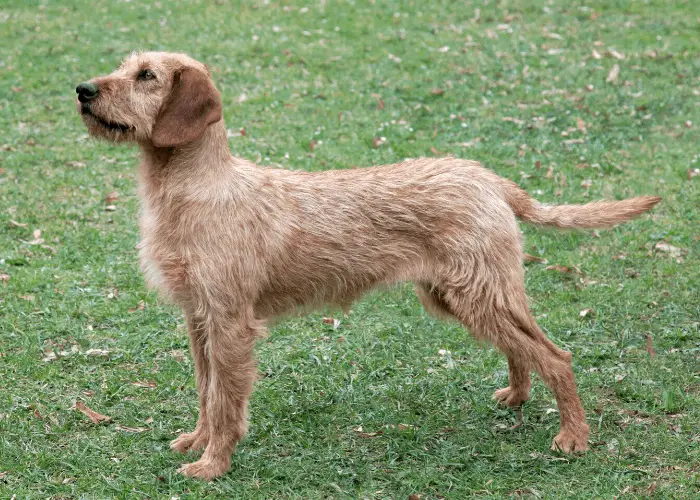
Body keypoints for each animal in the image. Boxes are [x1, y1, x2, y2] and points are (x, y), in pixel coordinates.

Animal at [78, 51, 660, 480]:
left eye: (146, 76)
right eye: (125, 67)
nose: (83, 90)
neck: (193, 189)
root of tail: (488, 178)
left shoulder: (230, 323)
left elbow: (225, 400)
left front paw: (212, 464)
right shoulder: (198, 318)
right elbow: (206, 391)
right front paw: (197, 442)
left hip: (481, 295)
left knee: (556, 356)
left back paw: (574, 437)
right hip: (463, 297)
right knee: (525, 349)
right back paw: (517, 397)